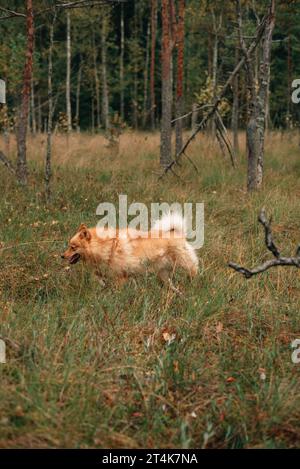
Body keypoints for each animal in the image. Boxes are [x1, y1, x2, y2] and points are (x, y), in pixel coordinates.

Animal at [61, 213, 198, 292]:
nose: (62, 256)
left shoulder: (121, 277)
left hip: (184, 264)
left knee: (193, 269)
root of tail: (176, 232)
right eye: (69, 246)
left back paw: (193, 284)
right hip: (163, 274)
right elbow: (98, 278)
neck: (107, 246)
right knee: (172, 286)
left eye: (73, 247)